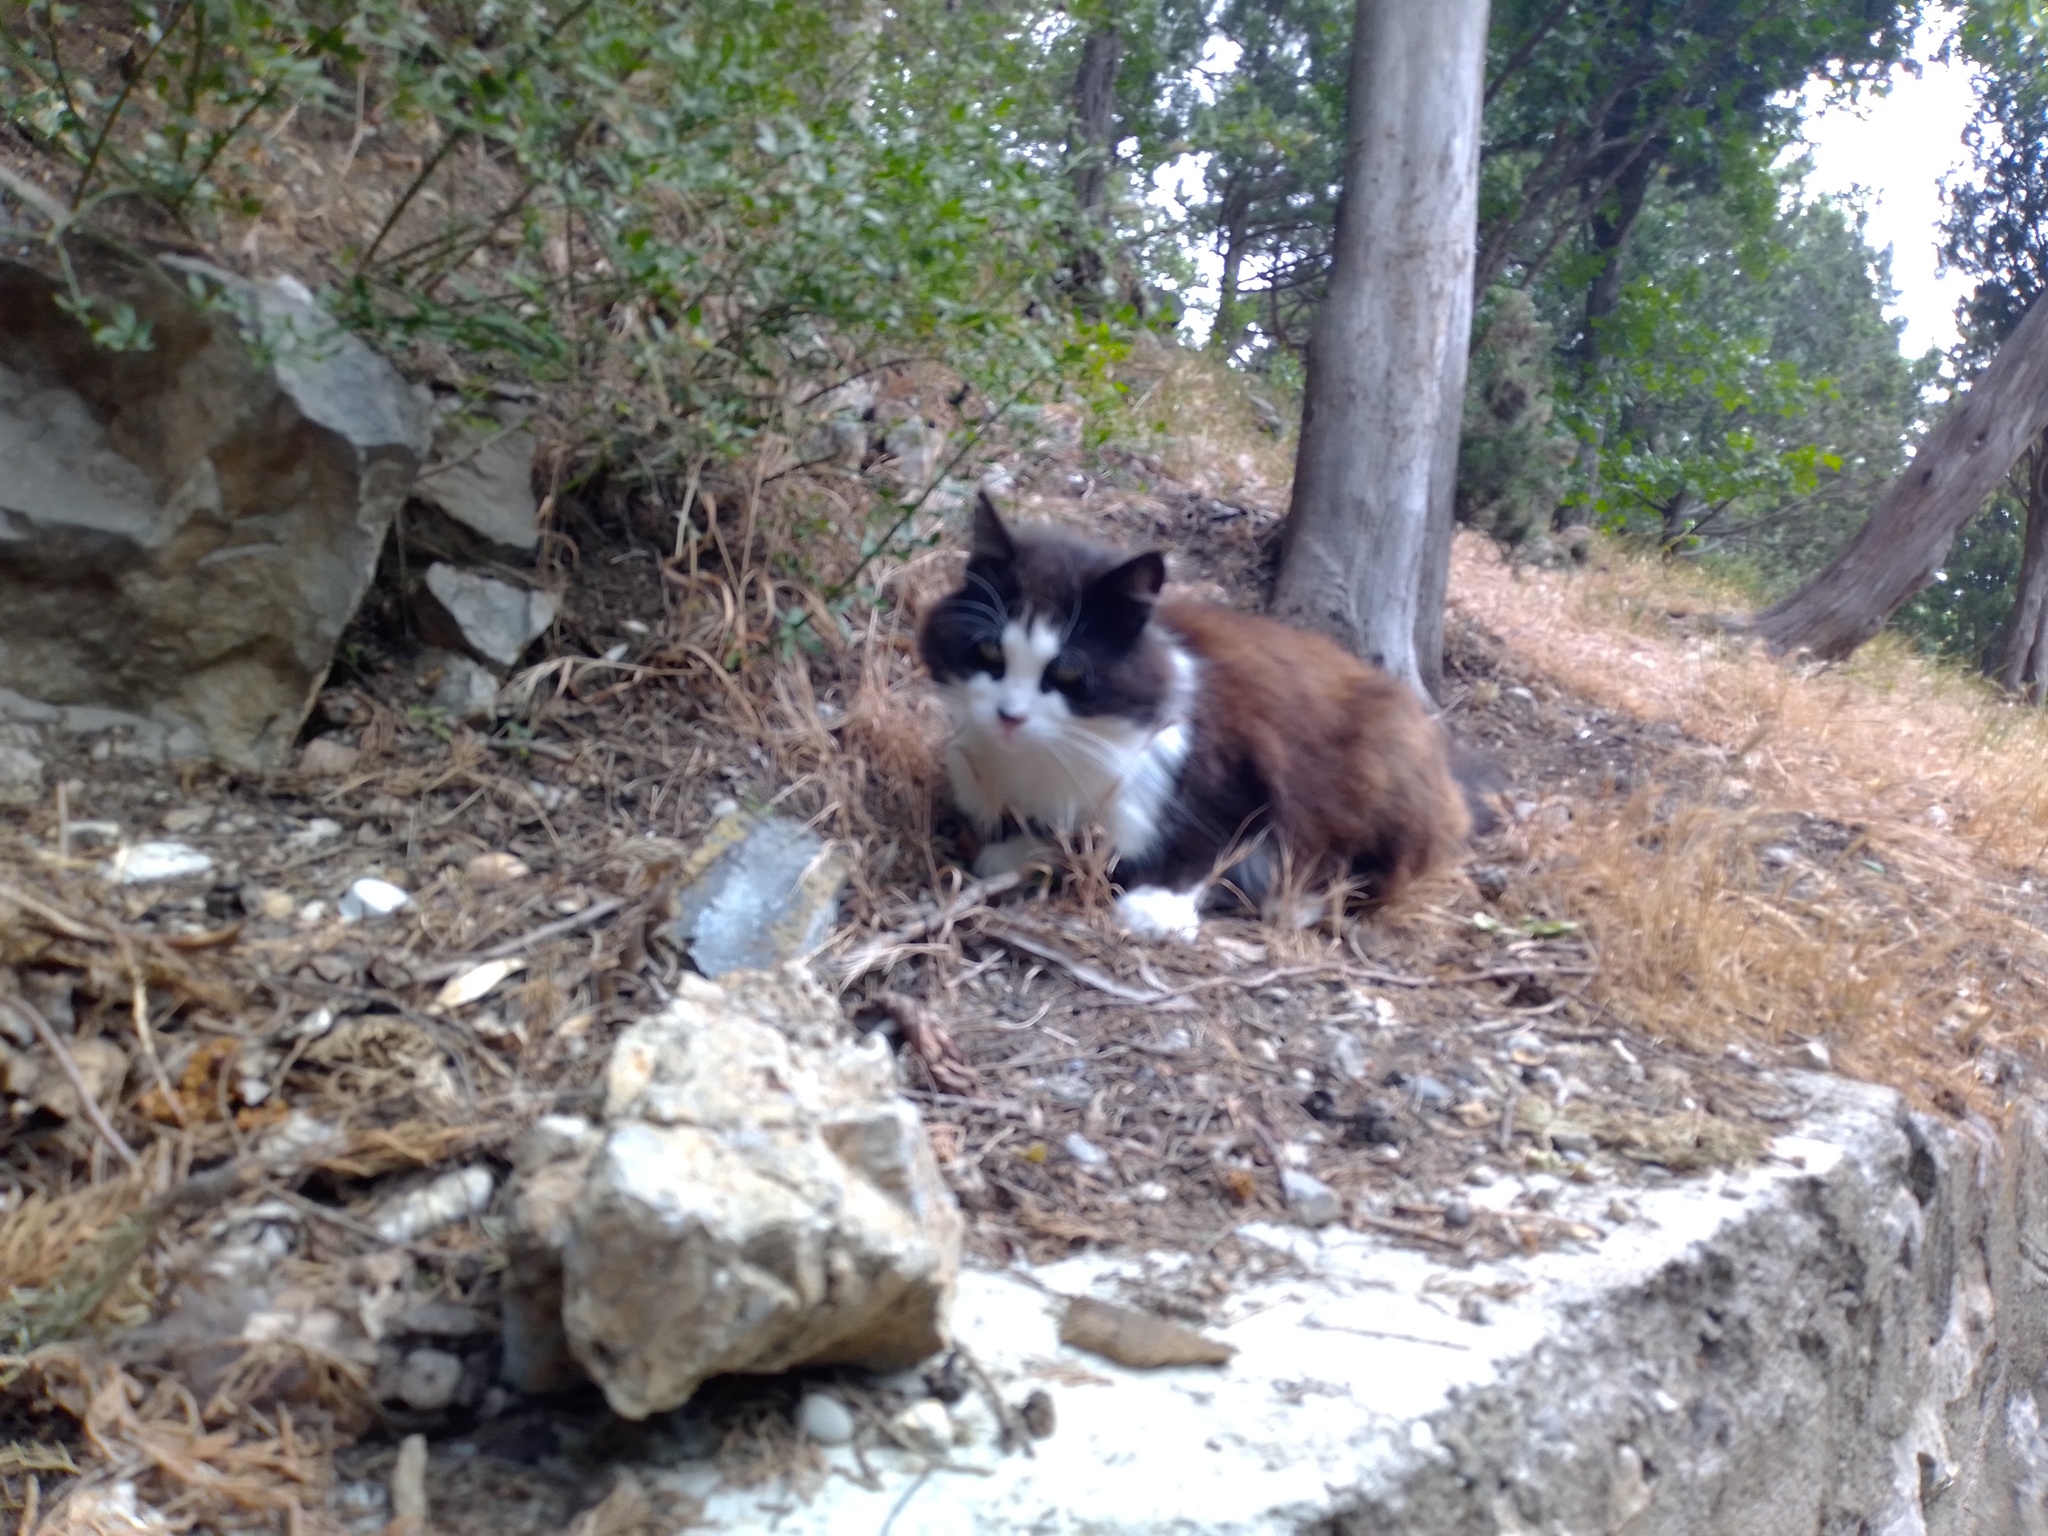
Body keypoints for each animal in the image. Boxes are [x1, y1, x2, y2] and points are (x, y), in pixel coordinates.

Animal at [917, 499, 1474, 946]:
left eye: (1068, 672)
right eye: (991, 651)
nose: (1010, 716)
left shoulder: (1237, 765)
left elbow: (1213, 836)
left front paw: (1158, 903)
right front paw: (1018, 849)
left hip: (1379, 764)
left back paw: (1296, 902)